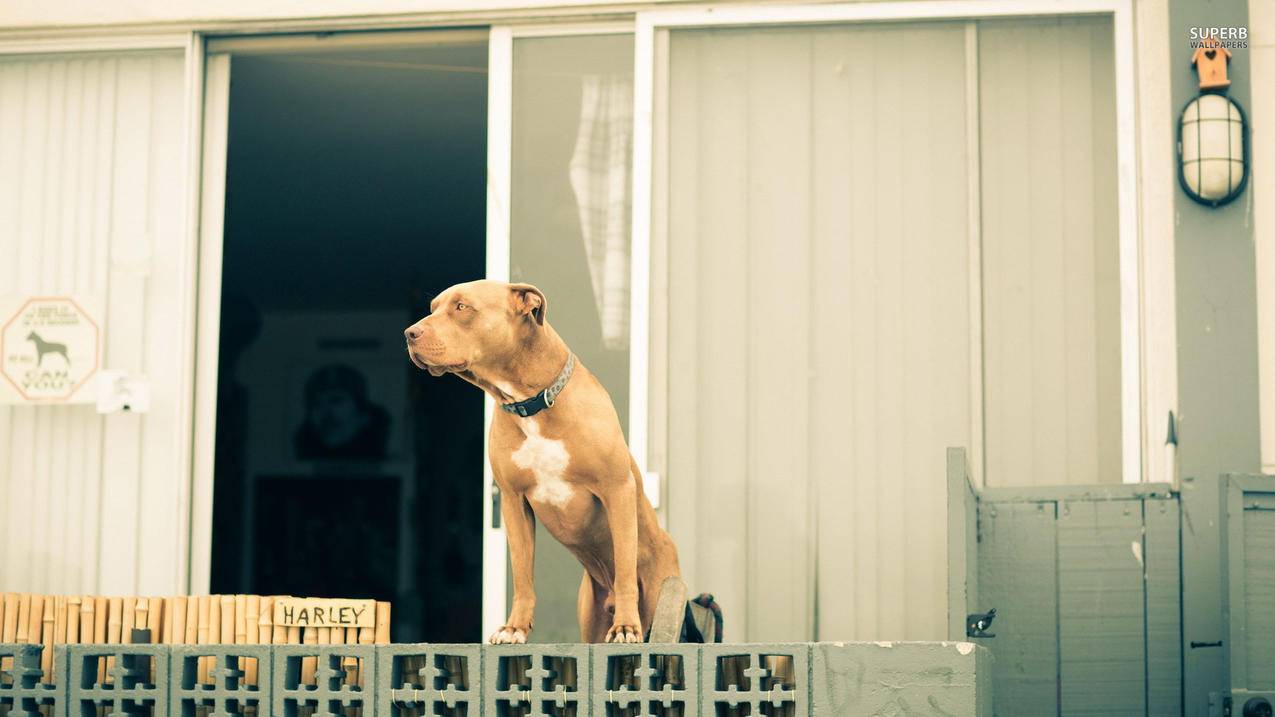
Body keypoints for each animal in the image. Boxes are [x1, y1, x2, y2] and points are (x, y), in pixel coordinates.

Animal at [405, 279, 683, 643]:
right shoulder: (514, 501)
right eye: (433, 307)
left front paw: (625, 626)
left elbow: (624, 566)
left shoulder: (617, 489)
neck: (531, 402)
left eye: (462, 307)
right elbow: (523, 574)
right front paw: (515, 628)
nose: (409, 333)